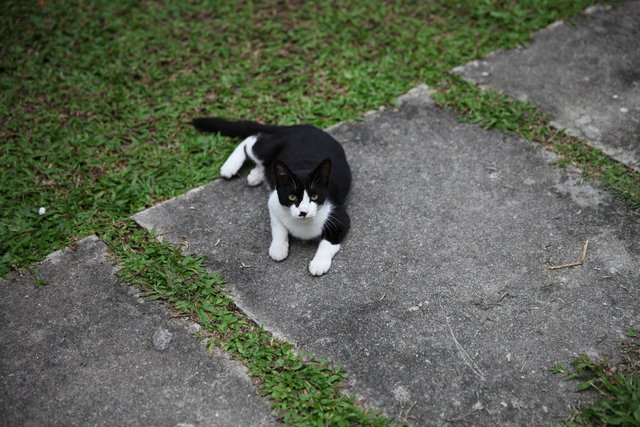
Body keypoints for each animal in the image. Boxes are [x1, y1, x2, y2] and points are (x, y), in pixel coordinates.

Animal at [192, 118, 352, 278]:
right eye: (292, 196)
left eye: (314, 195)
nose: (303, 212)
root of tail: (304, 127)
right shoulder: (273, 202)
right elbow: (278, 227)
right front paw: (278, 248)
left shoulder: (339, 215)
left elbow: (328, 242)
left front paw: (319, 263)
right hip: (269, 147)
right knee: (252, 140)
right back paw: (230, 166)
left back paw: (256, 175)